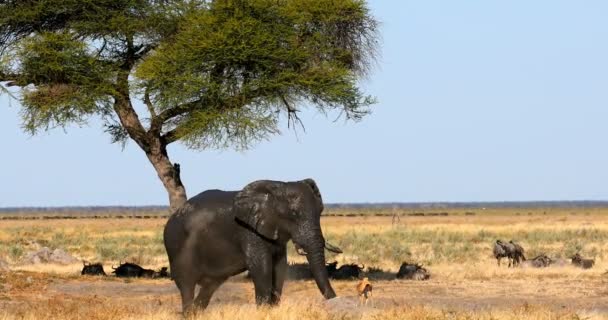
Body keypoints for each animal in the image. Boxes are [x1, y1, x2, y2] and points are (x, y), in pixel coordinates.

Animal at [164, 179, 340, 314]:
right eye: (293, 214)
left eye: (321, 211)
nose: (334, 301)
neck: (277, 188)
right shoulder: (249, 230)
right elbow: (261, 267)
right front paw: (264, 311)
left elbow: (279, 267)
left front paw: (272, 310)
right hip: (177, 246)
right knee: (187, 285)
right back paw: (189, 313)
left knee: (210, 286)